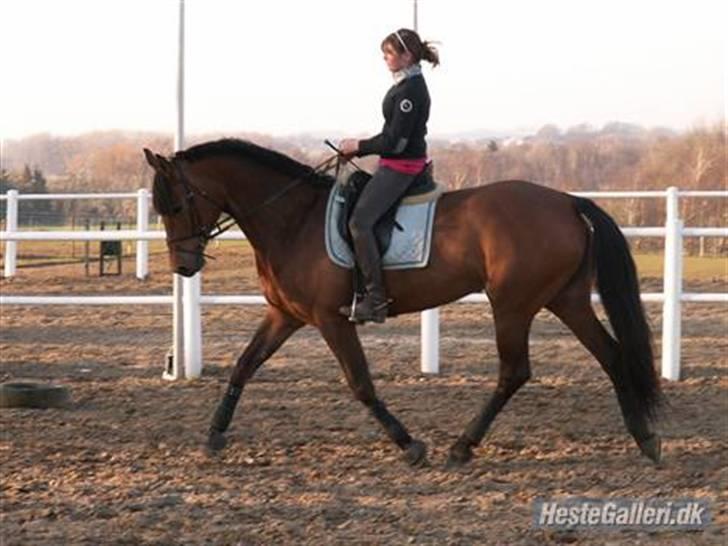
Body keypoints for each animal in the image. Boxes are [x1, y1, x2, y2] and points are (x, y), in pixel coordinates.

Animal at [141, 138, 660, 466]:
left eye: (176, 205)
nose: (184, 267)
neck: (294, 219)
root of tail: (568, 200)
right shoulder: (285, 315)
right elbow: (244, 365)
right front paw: (214, 434)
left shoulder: (332, 320)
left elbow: (361, 384)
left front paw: (409, 445)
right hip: (565, 299)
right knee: (612, 355)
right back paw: (645, 438)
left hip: (512, 305)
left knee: (515, 371)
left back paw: (462, 447)